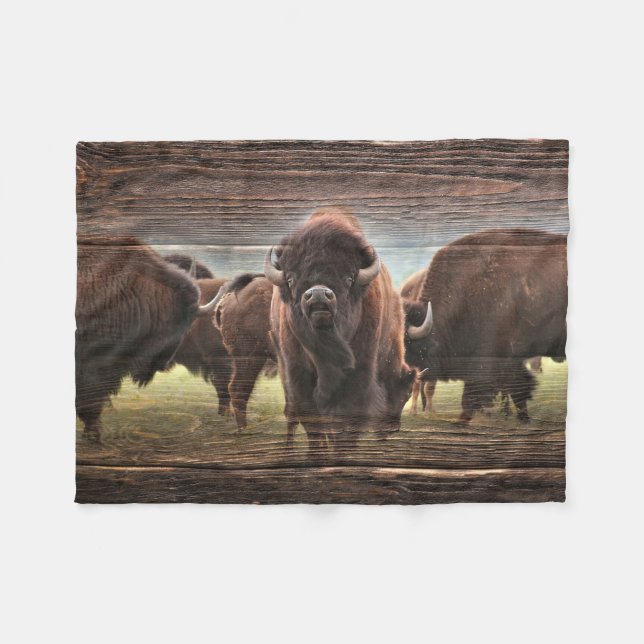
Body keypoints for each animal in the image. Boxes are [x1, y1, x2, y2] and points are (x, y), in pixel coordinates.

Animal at [265, 211, 415, 452]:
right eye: (291, 278)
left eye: (349, 278)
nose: (318, 295)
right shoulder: (298, 376)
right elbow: (313, 423)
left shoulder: (358, 375)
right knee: (293, 415)